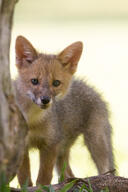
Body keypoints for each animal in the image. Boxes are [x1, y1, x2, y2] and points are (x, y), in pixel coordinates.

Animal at [14, 35, 114, 186]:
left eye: (56, 83)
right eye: (34, 81)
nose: (45, 100)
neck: (33, 121)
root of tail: (89, 87)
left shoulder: (50, 144)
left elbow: (43, 178)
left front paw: (41, 188)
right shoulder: (21, 147)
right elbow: (24, 179)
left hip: (96, 142)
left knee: (106, 171)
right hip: (63, 152)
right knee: (68, 176)